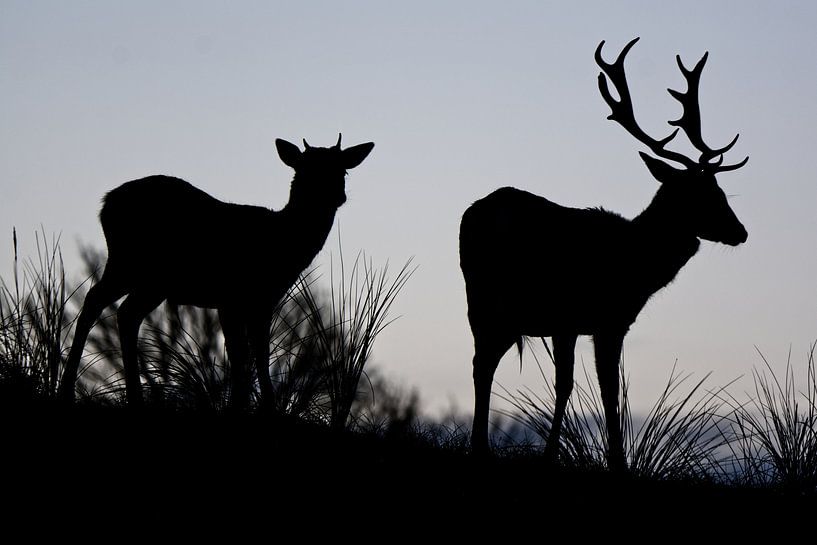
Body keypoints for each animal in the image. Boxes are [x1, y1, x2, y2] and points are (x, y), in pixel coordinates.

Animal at [59, 134, 374, 409]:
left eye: (343, 171)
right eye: (305, 168)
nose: (336, 195)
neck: (282, 243)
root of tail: (105, 204)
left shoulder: (254, 301)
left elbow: (251, 352)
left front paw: (251, 406)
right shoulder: (238, 298)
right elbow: (246, 354)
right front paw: (250, 406)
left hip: (134, 271)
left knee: (111, 307)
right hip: (139, 268)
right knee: (112, 307)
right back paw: (91, 391)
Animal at [460, 38, 748, 468]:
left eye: (721, 191)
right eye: (703, 195)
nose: (741, 232)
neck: (635, 264)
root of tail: (473, 214)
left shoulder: (586, 323)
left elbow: (585, 387)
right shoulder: (593, 319)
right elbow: (598, 389)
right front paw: (609, 461)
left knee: (483, 362)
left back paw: (481, 445)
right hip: (488, 298)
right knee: (483, 363)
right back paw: (480, 446)